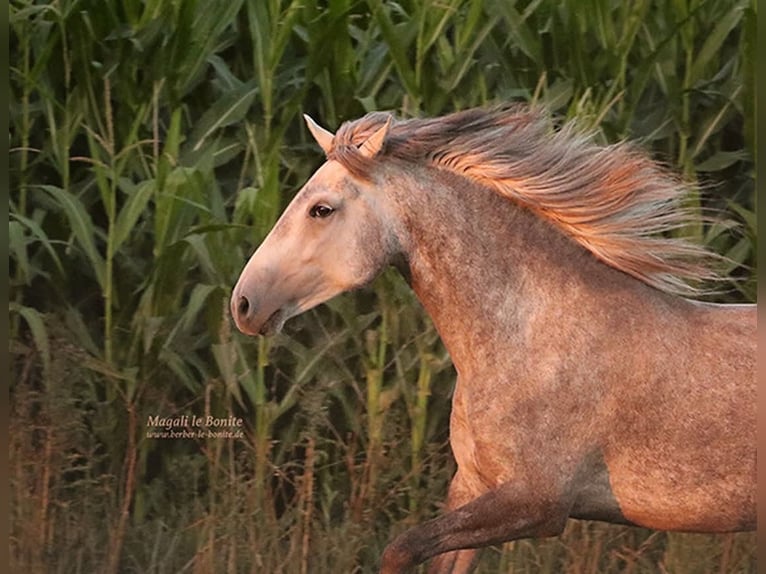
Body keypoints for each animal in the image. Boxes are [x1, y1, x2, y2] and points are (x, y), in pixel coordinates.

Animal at [230, 105, 756, 573]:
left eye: (321, 209)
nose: (243, 305)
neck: (529, 339)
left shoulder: (535, 504)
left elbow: (401, 549)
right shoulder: (473, 487)